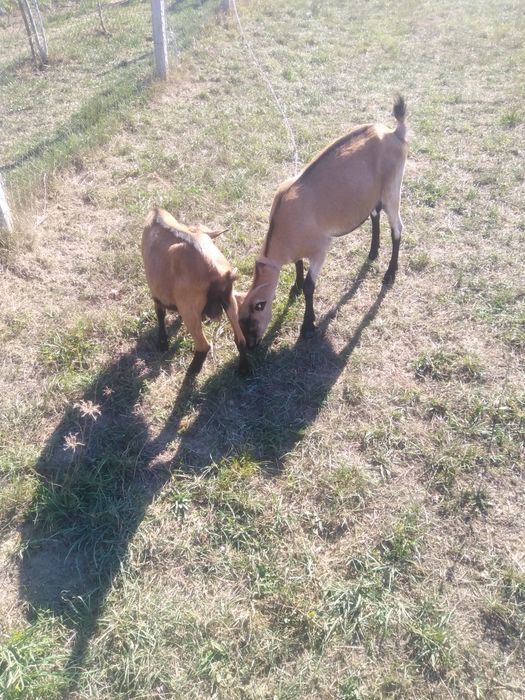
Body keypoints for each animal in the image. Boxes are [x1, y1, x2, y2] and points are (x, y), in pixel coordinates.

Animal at [142, 208, 249, 375]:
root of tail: (216, 272)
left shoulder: (157, 293)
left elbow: (160, 313)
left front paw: (162, 343)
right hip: (229, 300)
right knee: (240, 339)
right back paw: (243, 369)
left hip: (189, 308)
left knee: (203, 345)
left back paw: (191, 372)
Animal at [238, 96, 408, 350]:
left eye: (252, 320)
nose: (249, 349)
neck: (283, 221)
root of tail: (395, 132)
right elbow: (298, 263)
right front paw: (295, 287)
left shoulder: (321, 247)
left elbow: (311, 285)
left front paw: (308, 326)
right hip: (372, 194)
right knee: (374, 214)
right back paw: (372, 252)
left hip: (392, 189)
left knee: (397, 227)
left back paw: (389, 274)